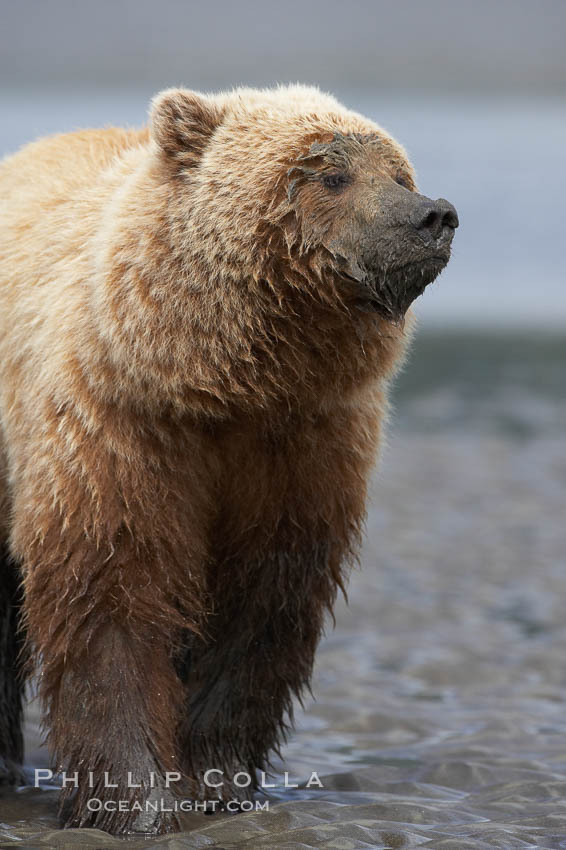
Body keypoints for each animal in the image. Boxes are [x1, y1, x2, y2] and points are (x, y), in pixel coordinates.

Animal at [0, 84, 458, 828]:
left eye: (399, 173)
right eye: (331, 174)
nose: (433, 214)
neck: (223, 382)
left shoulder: (302, 449)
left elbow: (261, 607)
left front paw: (220, 783)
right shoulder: (122, 428)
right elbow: (112, 595)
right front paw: (136, 802)